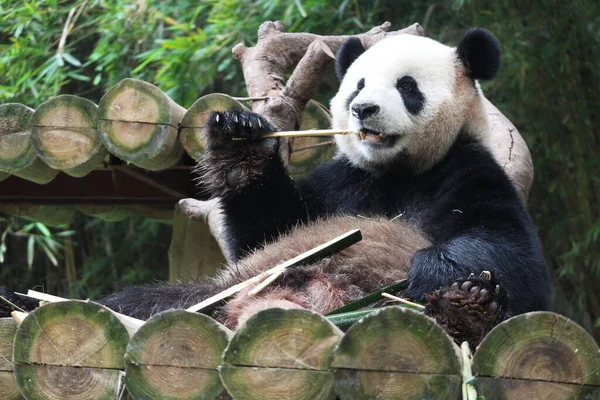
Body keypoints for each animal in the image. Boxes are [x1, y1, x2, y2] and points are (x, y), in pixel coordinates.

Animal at [1, 28, 552, 340]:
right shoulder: (341, 181)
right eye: (357, 84)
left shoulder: (467, 166)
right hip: (221, 290)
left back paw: (466, 306)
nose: (363, 109)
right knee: (142, 303)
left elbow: (510, 249)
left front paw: (434, 274)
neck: (393, 172)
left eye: (407, 87)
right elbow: (269, 229)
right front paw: (240, 138)